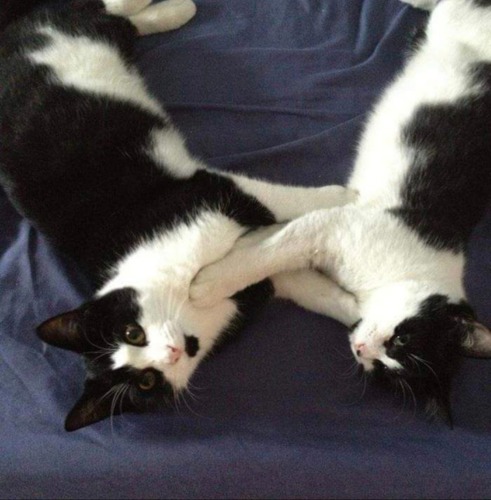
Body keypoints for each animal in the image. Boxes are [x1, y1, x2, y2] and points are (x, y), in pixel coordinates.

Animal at [0, 0, 360, 430]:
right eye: (146, 383)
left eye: (132, 333)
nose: (170, 353)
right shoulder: (254, 267)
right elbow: (298, 280)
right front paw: (361, 311)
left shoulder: (206, 195)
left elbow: (279, 202)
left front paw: (349, 197)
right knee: (115, 24)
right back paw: (169, 13)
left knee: (100, 12)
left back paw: (170, 9)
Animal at [191, 0, 491, 424]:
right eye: (402, 339)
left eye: (385, 369)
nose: (364, 351)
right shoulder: (333, 225)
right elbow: (269, 251)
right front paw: (208, 282)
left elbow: (286, 265)